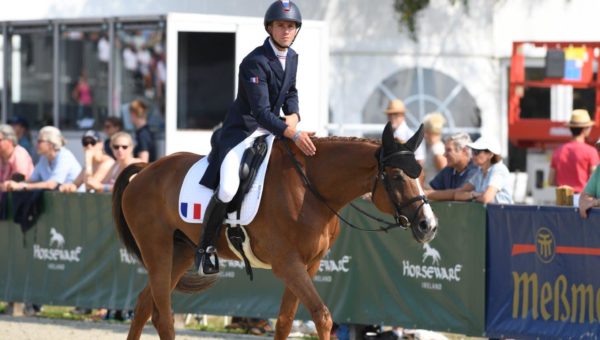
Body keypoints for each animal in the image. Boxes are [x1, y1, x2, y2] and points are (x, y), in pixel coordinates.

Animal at [112, 122, 438, 340]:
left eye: (420, 173)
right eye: (396, 176)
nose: (428, 225)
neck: (311, 189)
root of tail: (145, 170)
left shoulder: (309, 264)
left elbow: (285, 321)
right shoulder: (287, 264)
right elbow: (322, 316)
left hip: (179, 253)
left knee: (144, 307)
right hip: (158, 250)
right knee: (163, 315)